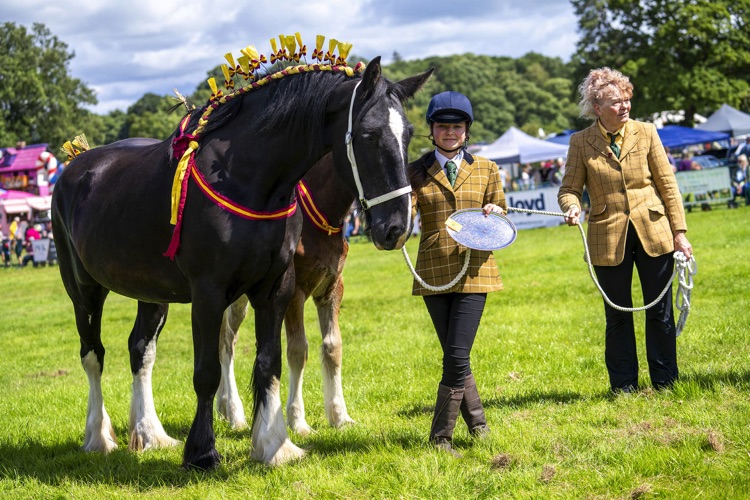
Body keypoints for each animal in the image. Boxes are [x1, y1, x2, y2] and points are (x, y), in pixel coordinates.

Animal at [216, 153, 359, 436]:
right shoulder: (295, 292)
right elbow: (297, 350)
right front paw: (297, 421)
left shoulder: (333, 288)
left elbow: (333, 346)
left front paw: (339, 416)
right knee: (226, 343)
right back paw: (235, 414)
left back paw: (223, 406)